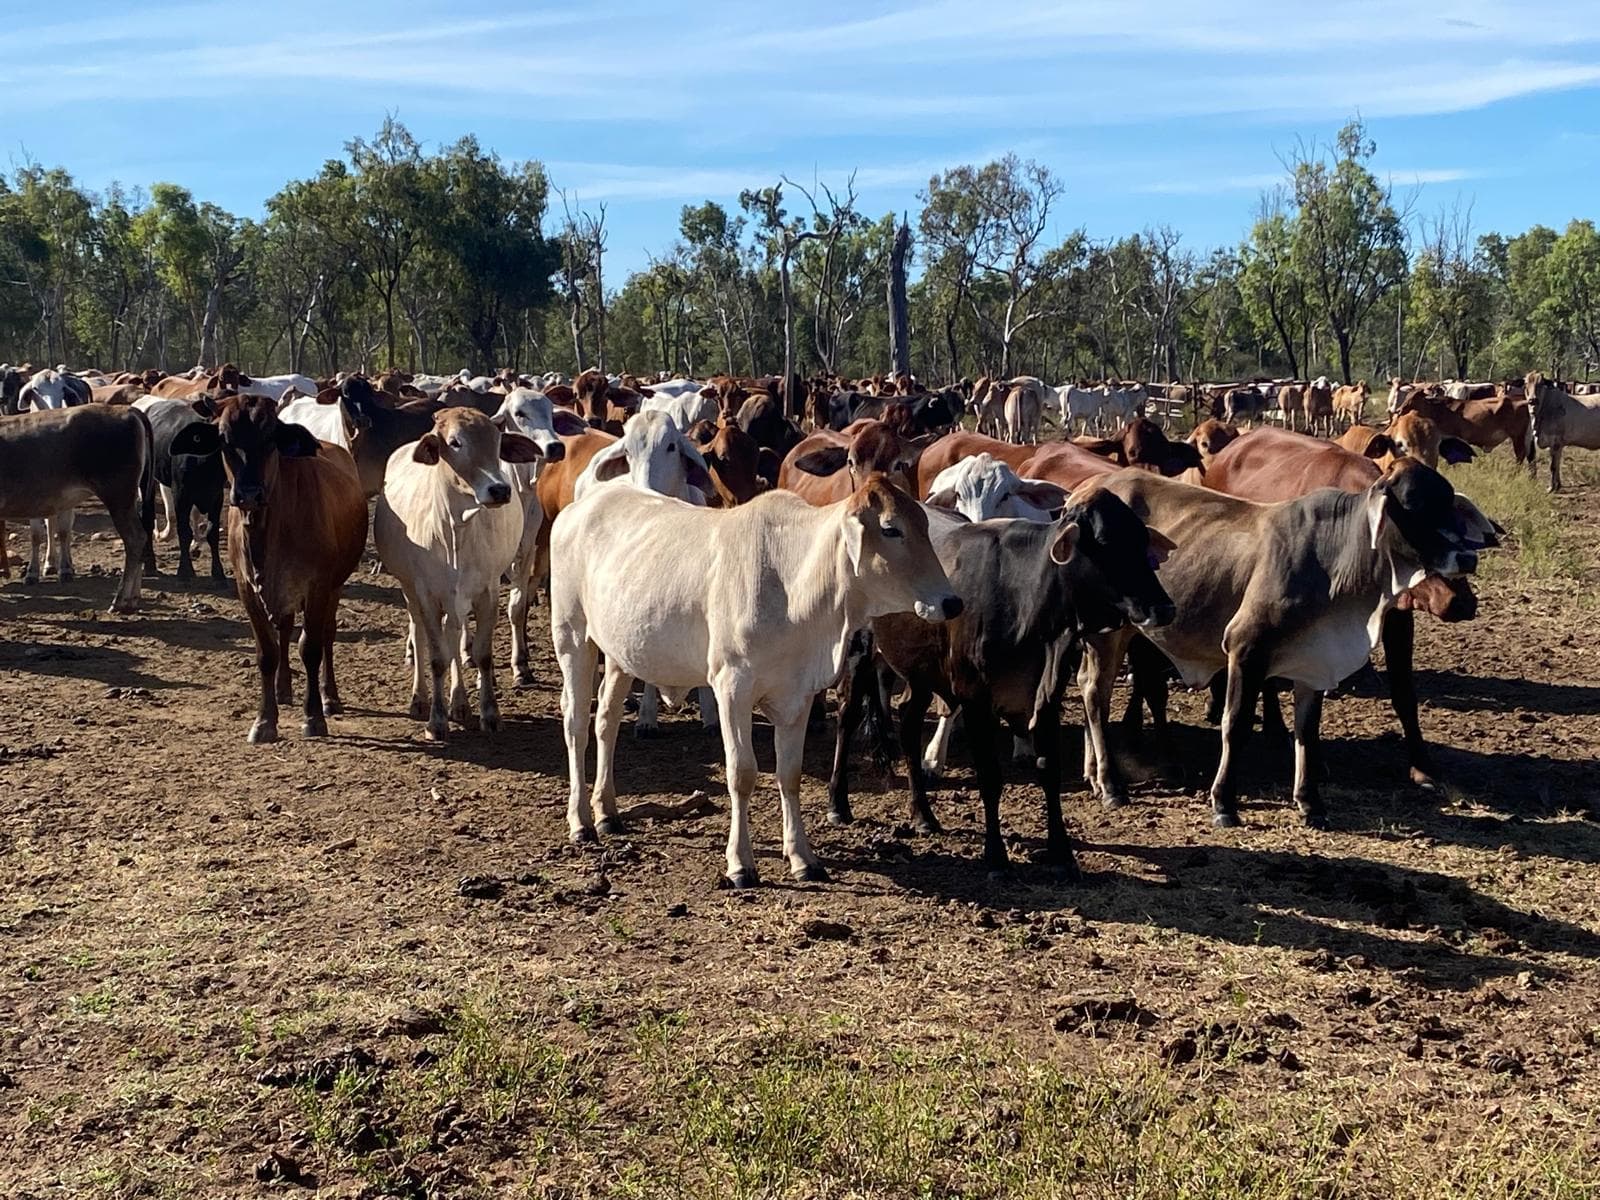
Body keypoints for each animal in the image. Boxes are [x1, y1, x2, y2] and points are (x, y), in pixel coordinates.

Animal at [0, 405, 155, 611]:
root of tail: (127, 410)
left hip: (118, 498)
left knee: (135, 538)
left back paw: (120, 599)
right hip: (131, 499)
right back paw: (133, 598)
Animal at [169, 397, 367, 743]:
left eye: (271, 439)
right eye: (225, 440)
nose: (249, 493)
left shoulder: (317, 586)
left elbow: (311, 647)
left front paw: (313, 717)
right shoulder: (247, 588)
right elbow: (267, 653)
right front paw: (264, 721)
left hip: (335, 585)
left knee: (327, 635)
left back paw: (329, 697)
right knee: (284, 632)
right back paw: (282, 689)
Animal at [374, 409, 543, 740]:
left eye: (497, 441)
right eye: (455, 442)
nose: (499, 489)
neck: (455, 530)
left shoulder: (487, 592)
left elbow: (482, 654)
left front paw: (490, 714)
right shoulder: (426, 594)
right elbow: (437, 657)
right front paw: (436, 721)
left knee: (453, 635)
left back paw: (460, 703)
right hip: (410, 591)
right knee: (420, 634)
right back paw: (420, 699)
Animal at [552, 474, 961, 885]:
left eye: (925, 525)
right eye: (891, 529)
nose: (952, 602)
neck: (796, 587)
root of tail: (583, 504)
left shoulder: (798, 696)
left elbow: (789, 774)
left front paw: (802, 858)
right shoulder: (732, 688)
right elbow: (742, 774)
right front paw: (740, 864)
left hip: (620, 653)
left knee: (606, 721)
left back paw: (607, 812)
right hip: (573, 636)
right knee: (575, 724)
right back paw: (581, 821)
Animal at [1088, 456, 1497, 823]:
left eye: (1449, 504)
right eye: (1412, 506)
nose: (1467, 558)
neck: (1335, 561)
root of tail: (1090, 488)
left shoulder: (1314, 660)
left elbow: (1307, 733)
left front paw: (1310, 802)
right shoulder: (1245, 649)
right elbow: (1235, 725)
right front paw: (1224, 803)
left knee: (1100, 692)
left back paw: (1096, 775)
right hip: (1107, 631)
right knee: (1096, 697)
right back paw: (1111, 785)